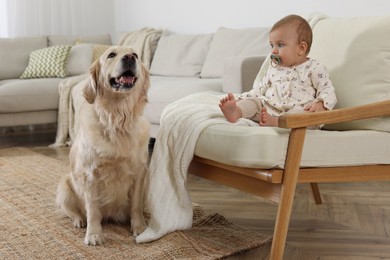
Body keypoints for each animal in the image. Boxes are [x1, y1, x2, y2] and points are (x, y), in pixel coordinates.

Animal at [55, 45, 150, 246]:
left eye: (136, 55)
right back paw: (79, 221)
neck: (118, 120)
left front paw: (140, 227)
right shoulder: (91, 175)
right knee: (74, 212)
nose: (129, 58)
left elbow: (136, 205)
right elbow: (93, 210)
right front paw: (94, 234)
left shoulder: (139, 172)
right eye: (111, 55)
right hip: (64, 186)